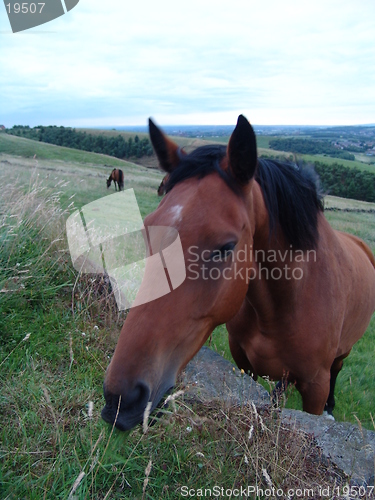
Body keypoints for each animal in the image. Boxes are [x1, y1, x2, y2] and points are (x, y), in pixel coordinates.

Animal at [101, 115, 375, 432]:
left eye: (226, 247)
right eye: (147, 229)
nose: (120, 399)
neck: (288, 304)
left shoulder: (315, 386)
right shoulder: (243, 363)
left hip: (342, 355)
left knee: (337, 370)